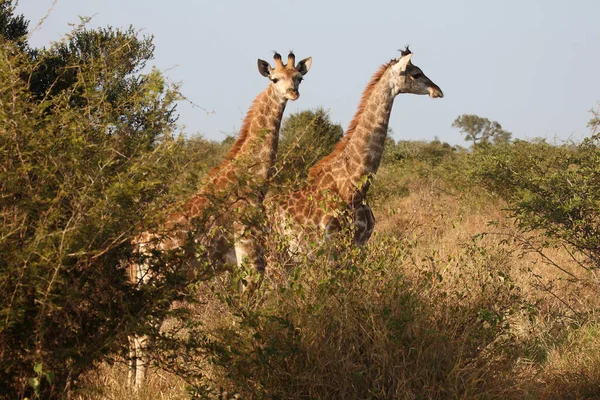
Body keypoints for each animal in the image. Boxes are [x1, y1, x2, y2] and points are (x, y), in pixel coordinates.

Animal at [127, 50, 314, 388]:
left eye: (299, 77)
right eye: (274, 78)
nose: (292, 94)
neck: (254, 180)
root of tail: (137, 241)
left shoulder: (235, 267)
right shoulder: (253, 259)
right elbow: (246, 318)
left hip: (141, 282)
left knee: (134, 332)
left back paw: (130, 386)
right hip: (158, 282)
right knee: (145, 332)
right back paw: (139, 389)